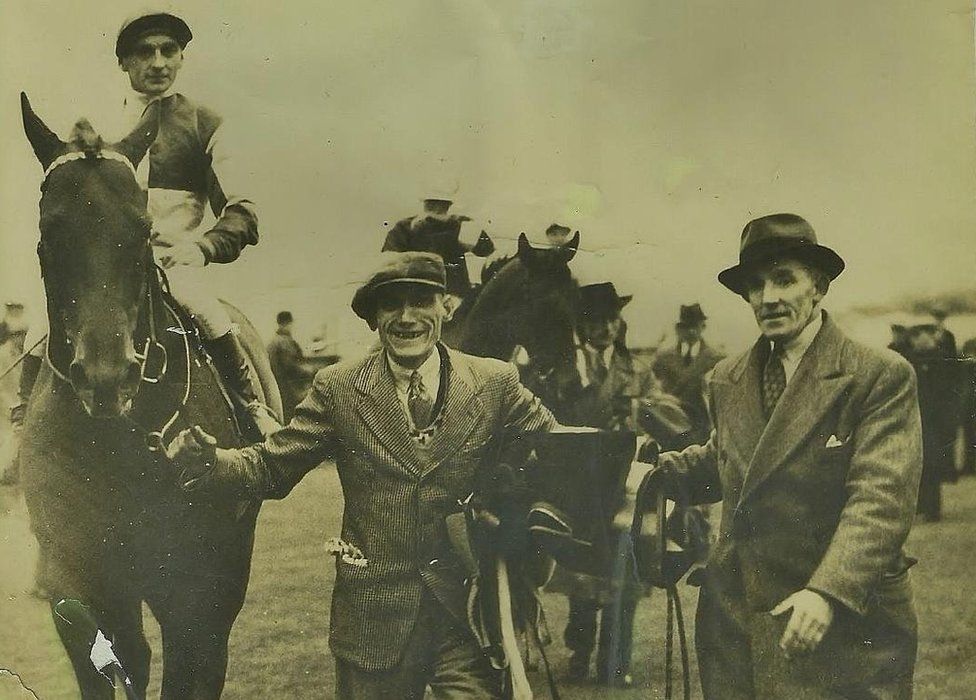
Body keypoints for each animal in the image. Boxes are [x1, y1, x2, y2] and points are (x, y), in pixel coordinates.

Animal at [20, 94, 278, 700]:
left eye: (140, 229)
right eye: (50, 229)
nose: (107, 378)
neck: (115, 446)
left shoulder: (197, 594)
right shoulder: (78, 580)